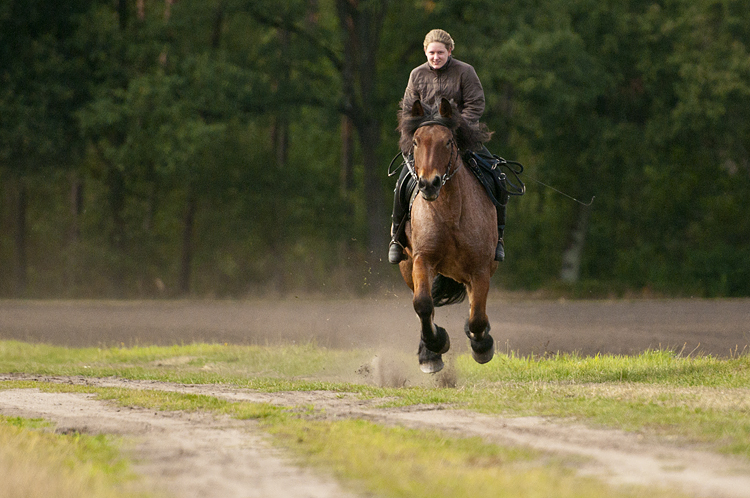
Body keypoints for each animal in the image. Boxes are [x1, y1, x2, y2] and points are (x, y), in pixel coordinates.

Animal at [400, 97, 500, 374]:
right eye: (416, 141)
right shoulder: (422, 260)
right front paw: (435, 345)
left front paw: (482, 346)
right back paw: (429, 350)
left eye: (447, 141)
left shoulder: (480, 268)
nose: (429, 184)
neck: (450, 214)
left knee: (476, 309)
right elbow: (423, 304)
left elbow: (477, 318)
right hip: (407, 267)